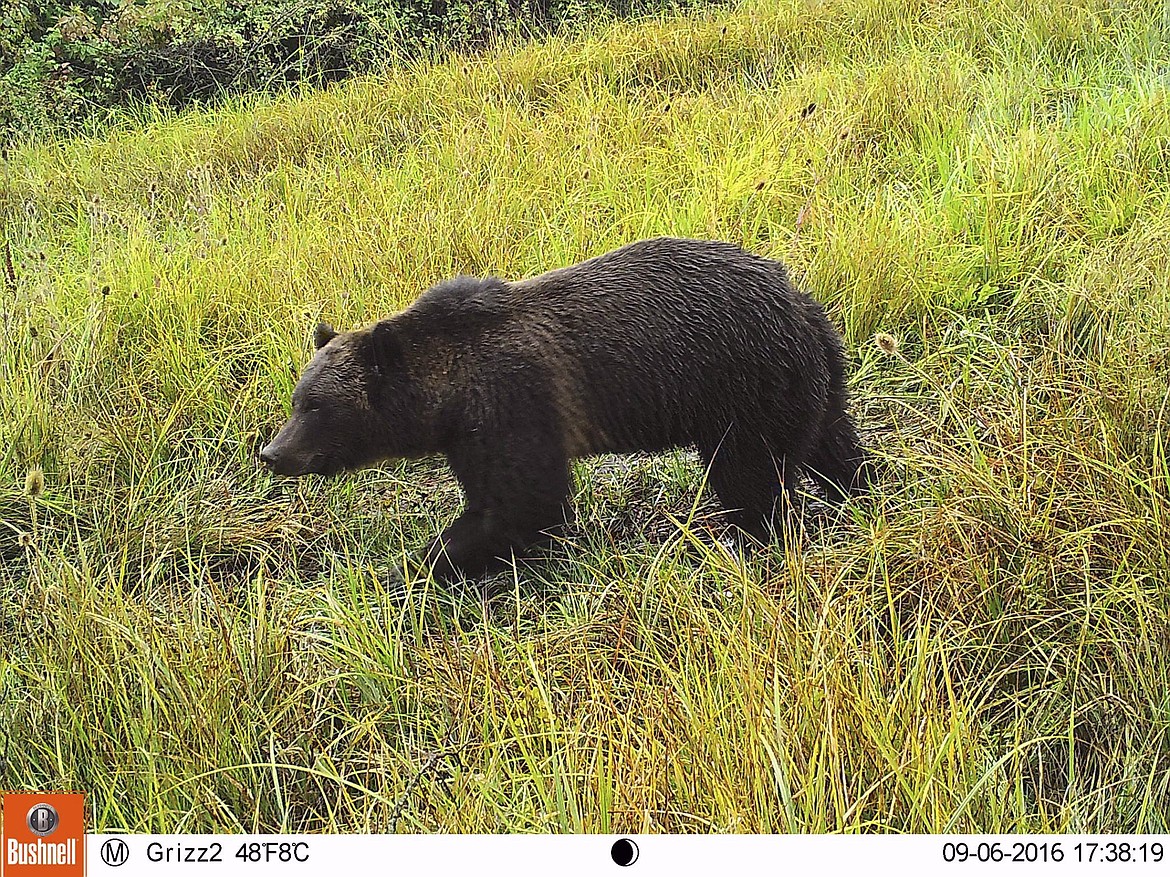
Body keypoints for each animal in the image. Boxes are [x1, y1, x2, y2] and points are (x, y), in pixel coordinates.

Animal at [263, 238, 870, 584]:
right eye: (296, 400)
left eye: (315, 406)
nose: (272, 453)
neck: (446, 396)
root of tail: (798, 299)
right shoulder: (471, 435)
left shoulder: (514, 404)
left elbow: (525, 502)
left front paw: (410, 568)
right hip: (807, 378)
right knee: (831, 442)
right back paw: (856, 492)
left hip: (741, 384)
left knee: (750, 474)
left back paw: (744, 535)